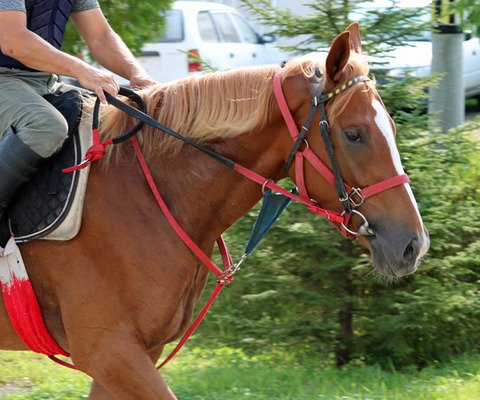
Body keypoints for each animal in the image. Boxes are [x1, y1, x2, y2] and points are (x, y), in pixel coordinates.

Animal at [0, 25, 430, 400]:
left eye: (393, 127)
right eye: (354, 134)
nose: (414, 244)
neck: (146, 193)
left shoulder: (132, 355)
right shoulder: (109, 350)